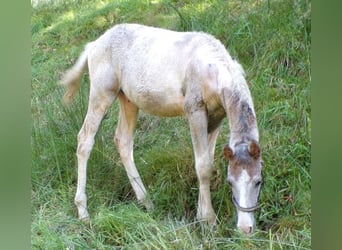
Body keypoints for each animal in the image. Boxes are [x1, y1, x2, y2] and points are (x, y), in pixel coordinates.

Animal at [60, 23, 264, 234]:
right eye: (230, 182)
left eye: (258, 181)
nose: (245, 228)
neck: (215, 69)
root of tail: (94, 44)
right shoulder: (195, 110)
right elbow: (202, 166)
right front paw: (208, 220)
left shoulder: (217, 117)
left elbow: (208, 161)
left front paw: (201, 214)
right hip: (102, 94)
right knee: (85, 140)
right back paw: (83, 213)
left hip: (128, 100)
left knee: (123, 141)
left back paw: (147, 202)